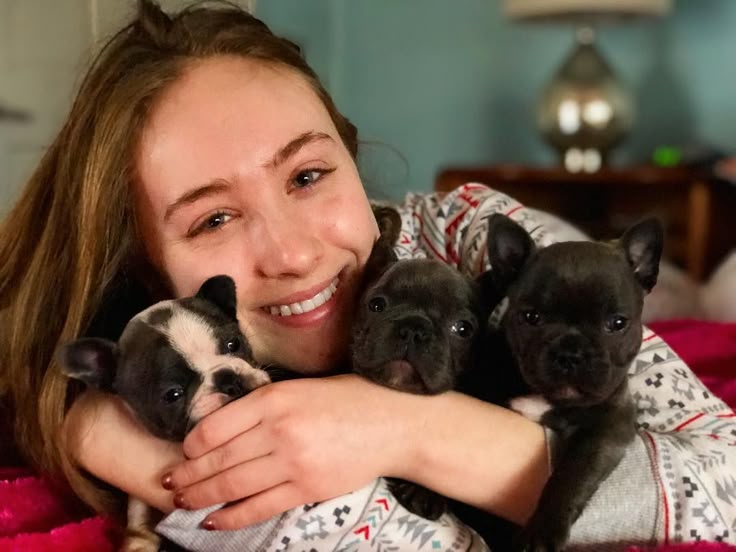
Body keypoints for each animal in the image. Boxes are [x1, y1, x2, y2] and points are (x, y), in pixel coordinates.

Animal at [483, 214, 663, 551]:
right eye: (531, 317)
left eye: (617, 323)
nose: (570, 353)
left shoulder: (606, 431)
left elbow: (571, 476)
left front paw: (541, 531)